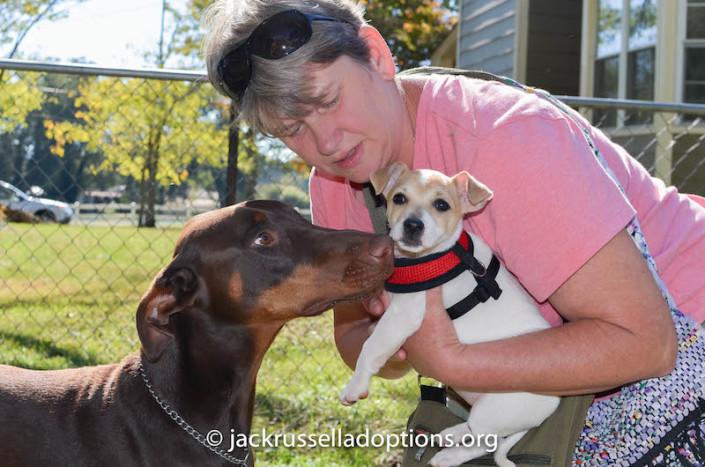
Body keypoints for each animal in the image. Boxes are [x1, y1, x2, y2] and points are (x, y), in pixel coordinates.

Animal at [338, 164, 560, 467]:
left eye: (441, 205)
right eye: (399, 198)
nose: (413, 225)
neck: (426, 258)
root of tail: (553, 402)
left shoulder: (402, 315)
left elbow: (370, 347)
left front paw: (354, 386)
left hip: (492, 411)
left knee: (486, 443)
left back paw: (449, 456)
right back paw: (452, 434)